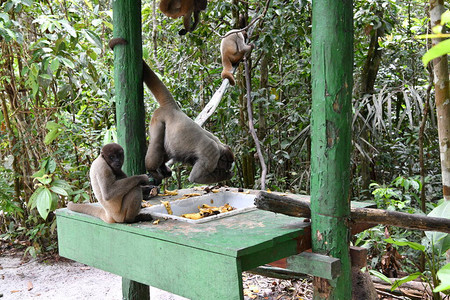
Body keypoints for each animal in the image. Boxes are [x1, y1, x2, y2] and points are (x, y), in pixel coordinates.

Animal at [108, 38, 234, 184]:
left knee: (168, 150)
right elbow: (196, 177)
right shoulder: (212, 155)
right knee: (156, 144)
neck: (220, 147)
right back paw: (152, 169)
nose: (230, 166)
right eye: (228, 162)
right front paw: (227, 174)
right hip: (158, 118)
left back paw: (162, 167)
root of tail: (173, 108)